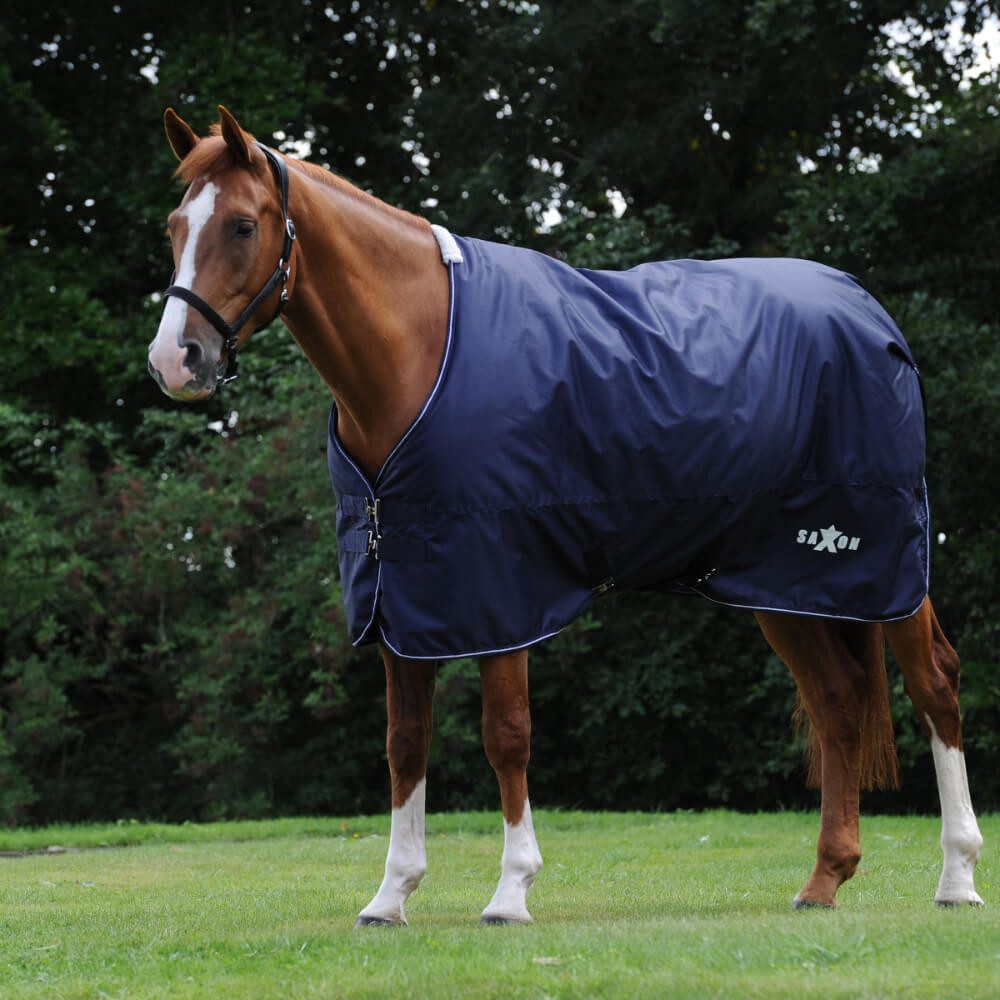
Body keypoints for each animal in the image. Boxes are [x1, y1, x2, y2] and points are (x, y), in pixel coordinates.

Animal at [148, 105, 984, 925]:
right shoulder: (402, 595)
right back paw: (824, 880)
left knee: (934, 683)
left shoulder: (501, 589)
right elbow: (405, 742)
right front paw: (391, 895)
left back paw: (957, 877)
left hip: (882, 560)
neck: (420, 351)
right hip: (783, 584)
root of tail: (864, 307)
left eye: (243, 227)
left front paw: (511, 890)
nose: (173, 360)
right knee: (837, 704)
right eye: (174, 227)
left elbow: (506, 735)